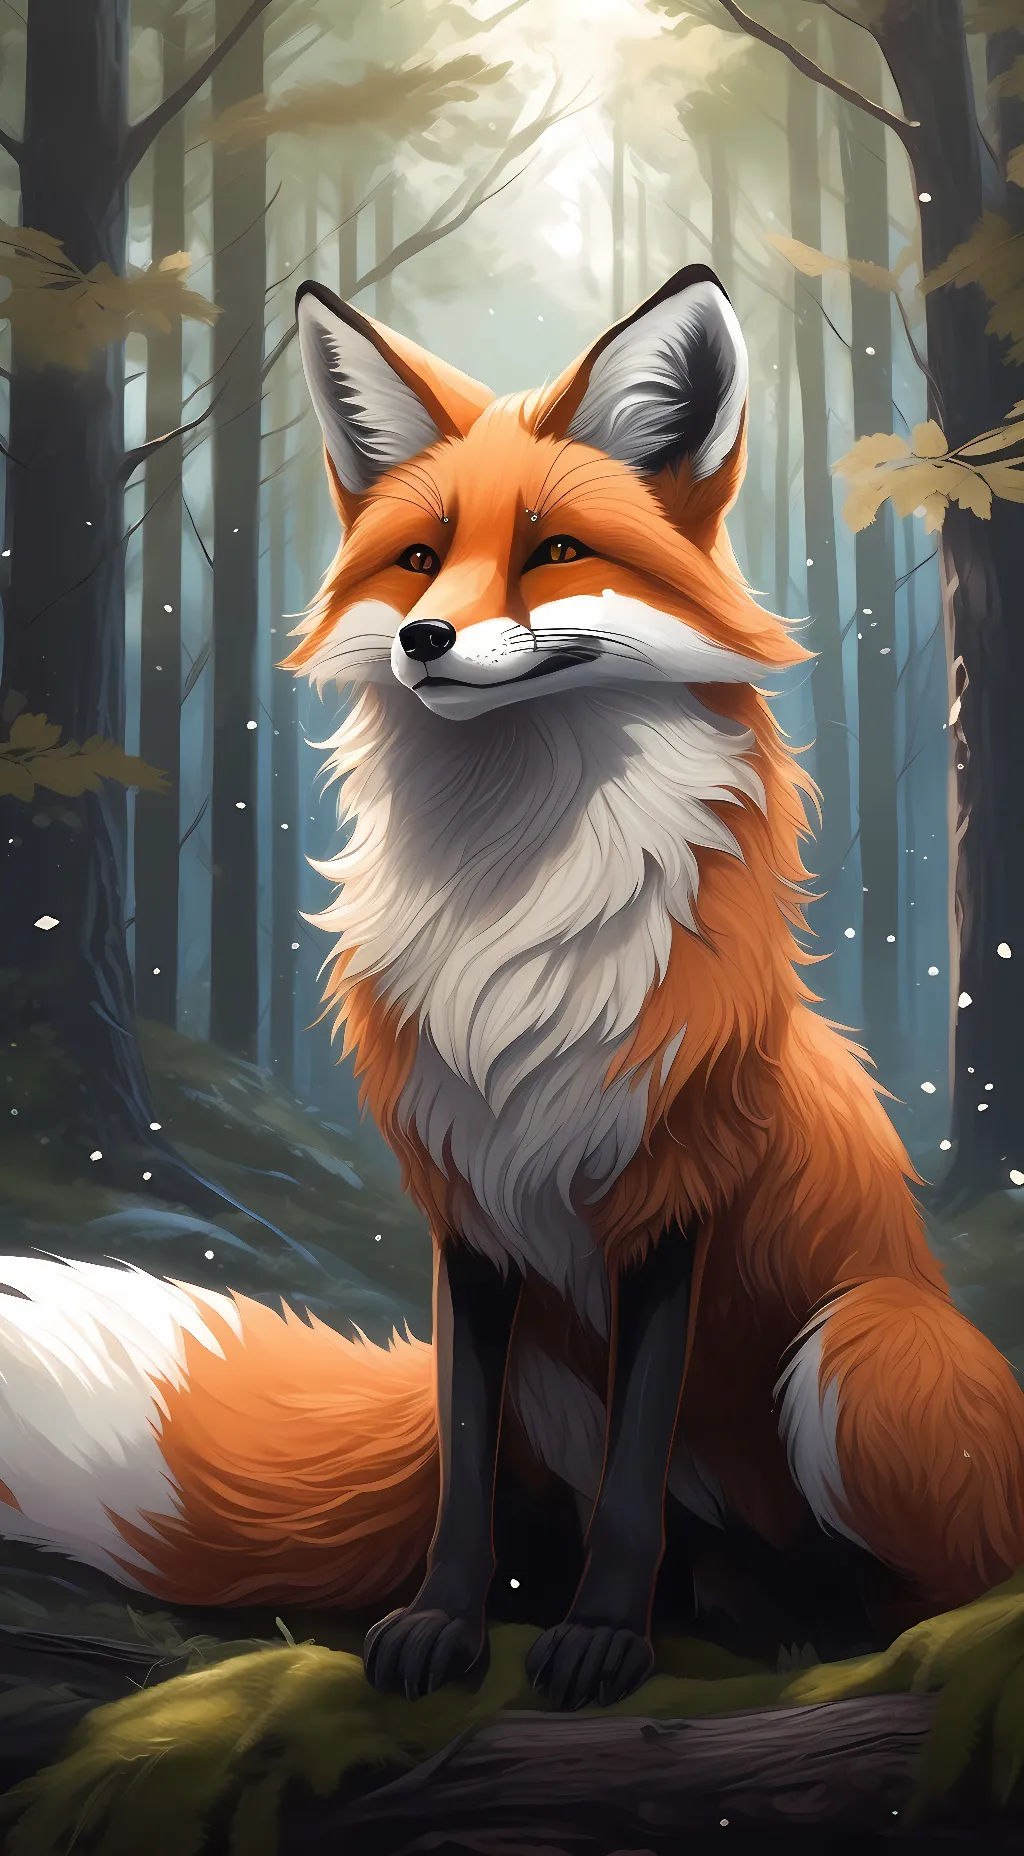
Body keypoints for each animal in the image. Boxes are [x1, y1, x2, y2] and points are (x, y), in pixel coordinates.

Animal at [1, 265, 1023, 1711]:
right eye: (419, 559)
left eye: (553, 552)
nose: (426, 638)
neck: (516, 912)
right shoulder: (466, 1213)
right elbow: (464, 1476)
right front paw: (447, 1622)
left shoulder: (672, 1202)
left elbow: (634, 1480)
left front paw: (602, 1640)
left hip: (857, 1350)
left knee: (921, 1571)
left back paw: (810, 1619)